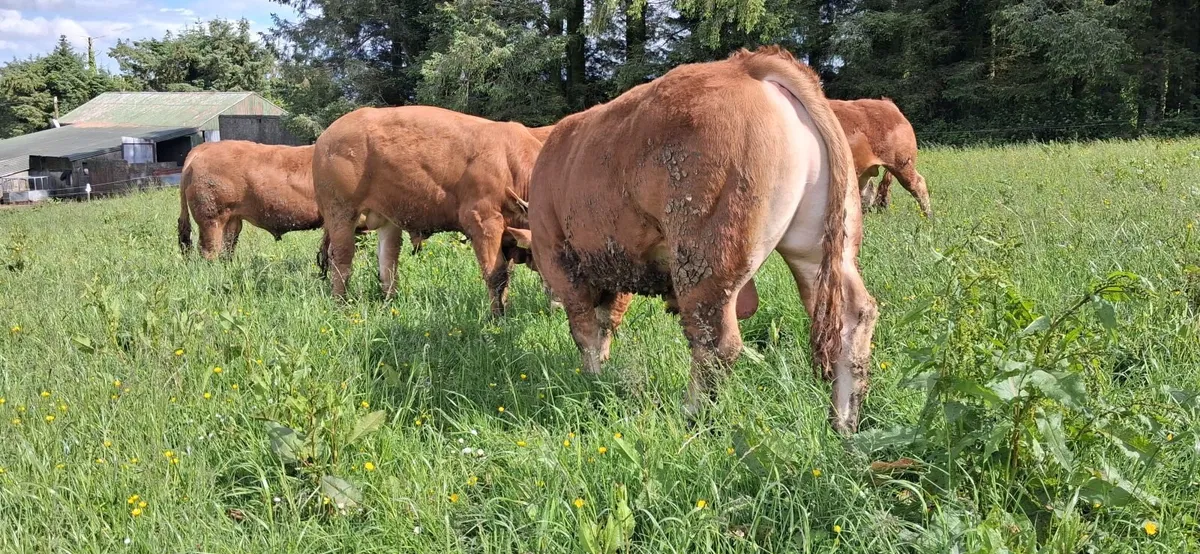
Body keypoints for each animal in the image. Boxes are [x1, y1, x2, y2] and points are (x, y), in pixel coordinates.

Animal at [313, 106, 544, 315]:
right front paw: (497, 318)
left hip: (387, 221)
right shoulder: (483, 223)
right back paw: (341, 305)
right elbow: (496, 275)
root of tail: (326, 136)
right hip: (341, 214)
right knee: (341, 259)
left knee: (387, 262)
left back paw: (390, 304)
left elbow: (506, 274)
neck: (509, 163)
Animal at [514, 46, 878, 434]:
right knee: (854, 317)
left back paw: (691, 414)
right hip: (820, 247)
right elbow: (605, 323)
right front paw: (603, 372)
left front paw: (591, 378)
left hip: (705, 255)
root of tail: (745, 67)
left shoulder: (562, 259)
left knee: (715, 342)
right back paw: (843, 422)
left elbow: (584, 329)